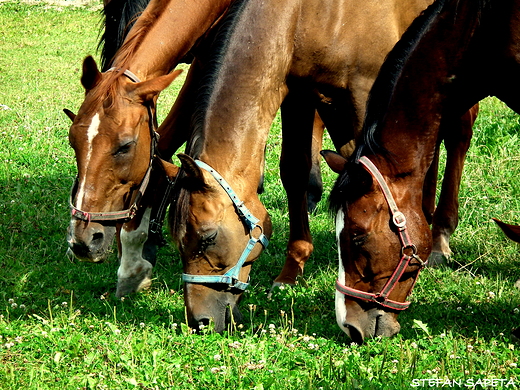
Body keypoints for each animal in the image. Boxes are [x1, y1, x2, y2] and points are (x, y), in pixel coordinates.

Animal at [160, 0, 478, 332]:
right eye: (177, 242)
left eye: (208, 238)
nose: (200, 321)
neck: (308, 13)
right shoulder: (298, 93)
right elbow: (295, 169)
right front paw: (291, 270)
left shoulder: (366, 90)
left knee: (458, 135)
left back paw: (440, 235)